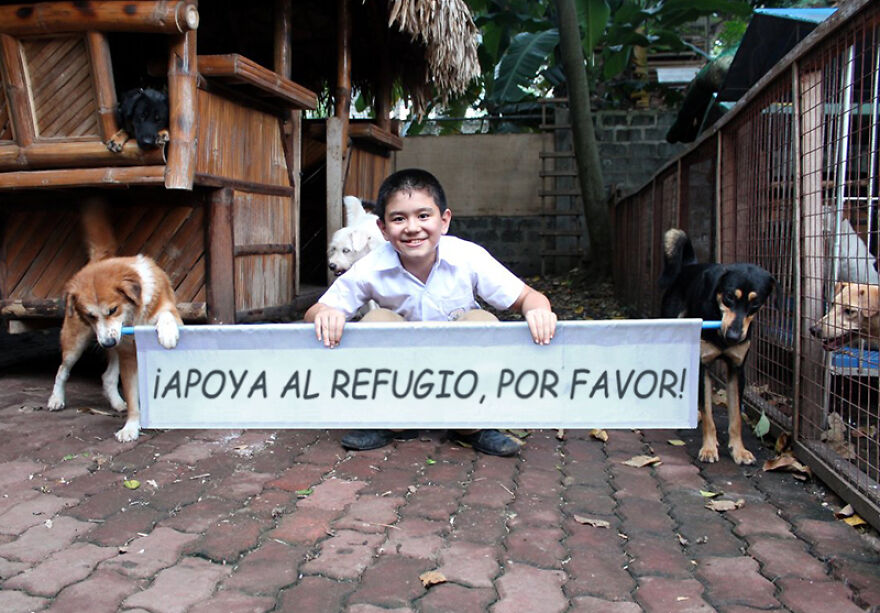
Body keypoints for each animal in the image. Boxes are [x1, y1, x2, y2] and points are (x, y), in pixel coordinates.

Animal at [46, 201, 182, 440]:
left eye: (113, 309)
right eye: (90, 315)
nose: (108, 343)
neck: (133, 315)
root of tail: (98, 260)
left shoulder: (169, 313)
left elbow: (165, 315)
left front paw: (167, 334)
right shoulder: (127, 355)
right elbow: (133, 395)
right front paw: (131, 427)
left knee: (107, 376)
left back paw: (118, 403)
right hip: (76, 344)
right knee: (63, 370)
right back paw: (56, 399)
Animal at [656, 230, 772, 464]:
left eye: (755, 304)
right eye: (729, 296)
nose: (734, 336)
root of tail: (690, 264)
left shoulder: (737, 369)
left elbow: (735, 416)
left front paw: (739, 450)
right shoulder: (703, 364)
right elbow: (709, 415)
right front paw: (709, 449)